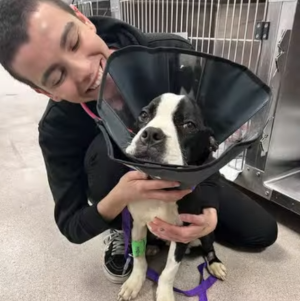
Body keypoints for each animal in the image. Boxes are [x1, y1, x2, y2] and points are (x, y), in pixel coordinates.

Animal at [118, 92, 226, 300]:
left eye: (189, 125)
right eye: (144, 114)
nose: (151, 133)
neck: (161, 186)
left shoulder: (182, 233)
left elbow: (169, 271)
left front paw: (165, 294)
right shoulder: (137, 224)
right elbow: (138, 257)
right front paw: (134, 282)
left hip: (206, 231)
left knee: (209, 247)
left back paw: (215, 263)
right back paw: (152, 246)